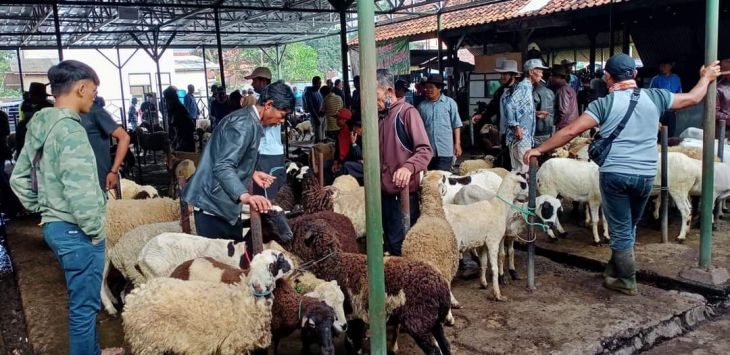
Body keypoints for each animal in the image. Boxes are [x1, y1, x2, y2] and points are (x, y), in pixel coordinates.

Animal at [440, 172, 528, 300]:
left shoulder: (483, 243)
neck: (499, 205)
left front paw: (483, 284)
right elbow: (495, 267)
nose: (529, 198)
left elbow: (484, 263)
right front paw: (498, 294)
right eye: (524, 183)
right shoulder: (493, 241)